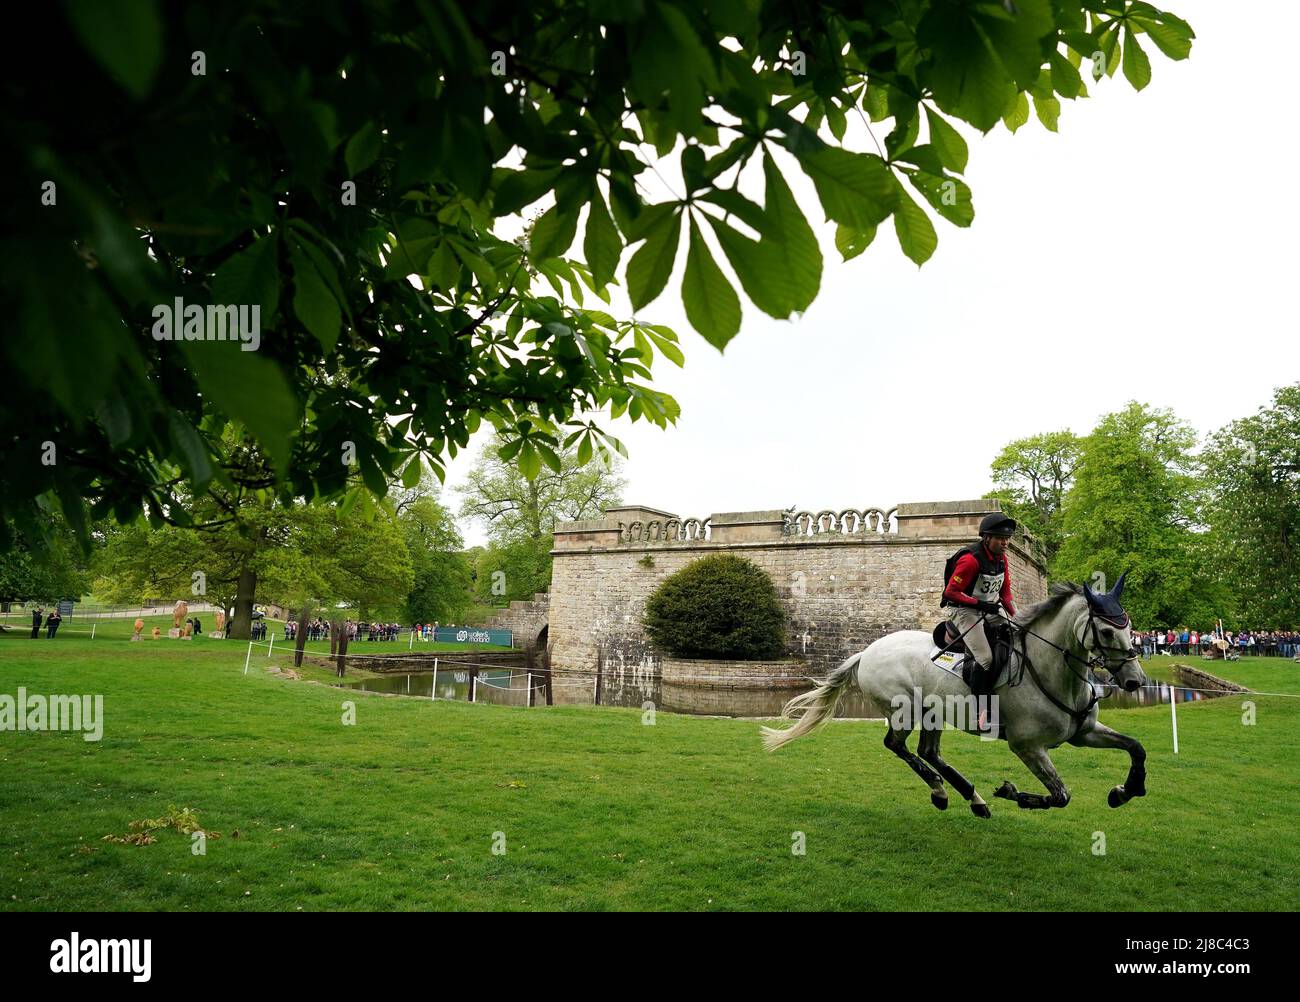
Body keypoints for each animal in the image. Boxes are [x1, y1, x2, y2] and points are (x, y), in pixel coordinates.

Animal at [759, 577, 1149, 821]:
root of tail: (866, 651)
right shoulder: (1027, 746)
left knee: (928, 752)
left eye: (1129, 627)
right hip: (904, 710)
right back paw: (941, 792)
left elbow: (1136, 747)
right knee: (897, 746)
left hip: (933, 713)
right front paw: (1013, 793)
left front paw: (1125, 791)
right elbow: (1060, 796)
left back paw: (972, 799)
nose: (1135, 680)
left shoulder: (1084, 733)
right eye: (1106, 631)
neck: (1050, 668)